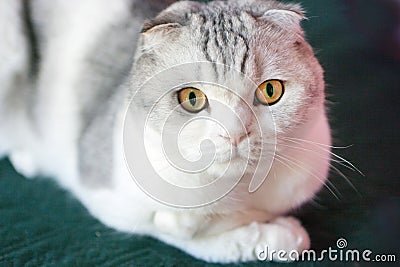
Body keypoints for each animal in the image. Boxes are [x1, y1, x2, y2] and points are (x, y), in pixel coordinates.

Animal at [0, 0, 334, 264]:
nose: (235, 134)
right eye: (192, 98)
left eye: (270, 91)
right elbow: (179, 231)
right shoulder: (105, 194)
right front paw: (277, 235)